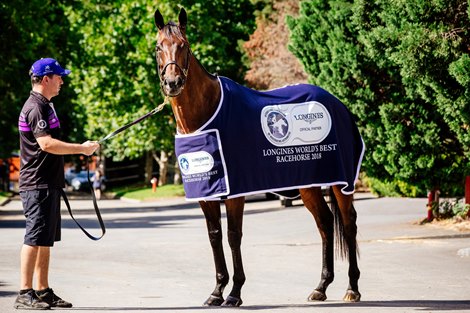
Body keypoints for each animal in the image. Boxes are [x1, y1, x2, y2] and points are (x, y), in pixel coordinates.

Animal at [156, 7, 362, 308]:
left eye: (184, 45)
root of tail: (337, 102)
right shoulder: (206, 193)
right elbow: (214, 236)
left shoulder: (235, 192)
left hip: (340, 180)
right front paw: (216, 291)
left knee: (348, 223)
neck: (207, 116)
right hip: (309, 186)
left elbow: (233, 236)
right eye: (158, 47)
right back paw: (321, 287)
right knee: (325, 223)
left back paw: (352, 288)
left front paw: (234, 293)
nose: (173, 83)